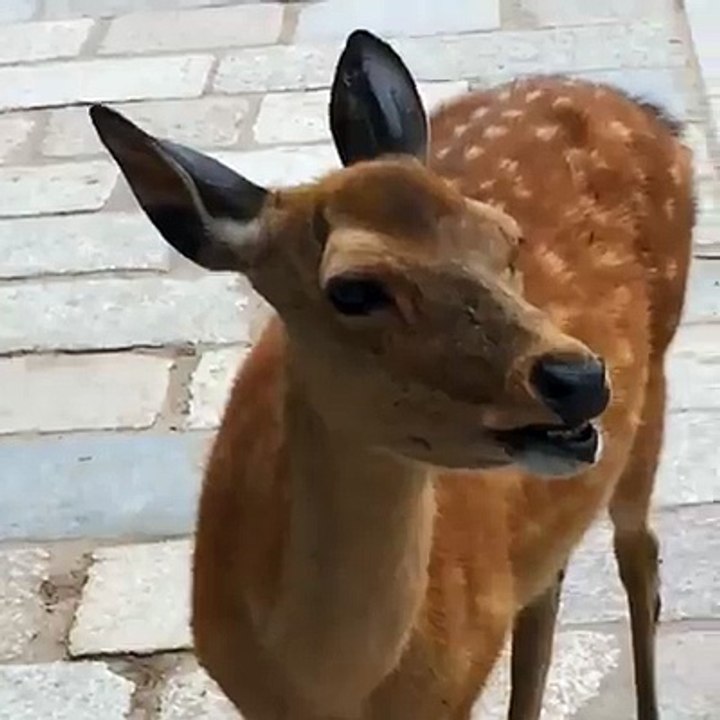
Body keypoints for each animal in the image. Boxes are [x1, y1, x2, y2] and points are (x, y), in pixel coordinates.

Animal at [89, 29, 693, 720]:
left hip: (656, 379)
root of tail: (647, 111)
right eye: (353, 289)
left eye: (506, 238)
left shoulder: (456, 685)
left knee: (639, 554)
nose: (580, 376)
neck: (328, 688)